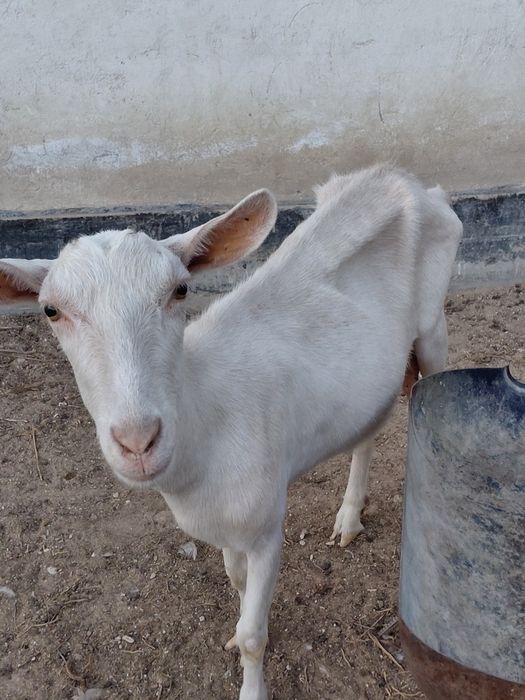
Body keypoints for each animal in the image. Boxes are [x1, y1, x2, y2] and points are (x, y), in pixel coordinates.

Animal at [0, 165, 462, 699]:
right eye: (50, 310)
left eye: (180, 290)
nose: (138, 441)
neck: (207, 424)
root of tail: (410, 181)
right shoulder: (226, 522)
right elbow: (234, 580)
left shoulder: (266, 525)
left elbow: (252, 636)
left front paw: (253, 682)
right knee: (368, 428)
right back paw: (348, 517)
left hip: (433, 327)